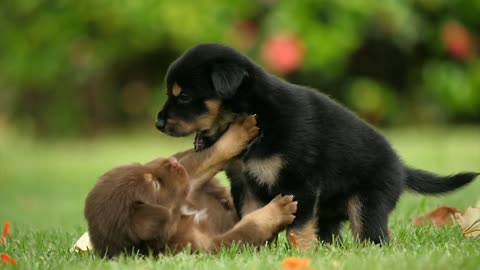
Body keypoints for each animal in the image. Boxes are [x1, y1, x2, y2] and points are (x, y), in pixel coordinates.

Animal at [84, 115, 298, 258]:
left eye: (141, 167)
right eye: (155, 184)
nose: (171, 161)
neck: (179, 217)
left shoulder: (188, 184)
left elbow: (207, 157)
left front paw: (239, 131)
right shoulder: (207, 246)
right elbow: (247, 229)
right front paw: (277, 210)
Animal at [156, 43, 478, 249]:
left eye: (184, 96)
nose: (158, 123)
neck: (256, 114)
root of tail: (401, 167)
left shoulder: (300, 183)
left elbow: (297, 229)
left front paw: (300, 255)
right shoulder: (245, 184)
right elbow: (251, 216)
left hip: (368, 202)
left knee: (373, 236)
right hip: (330, 213)